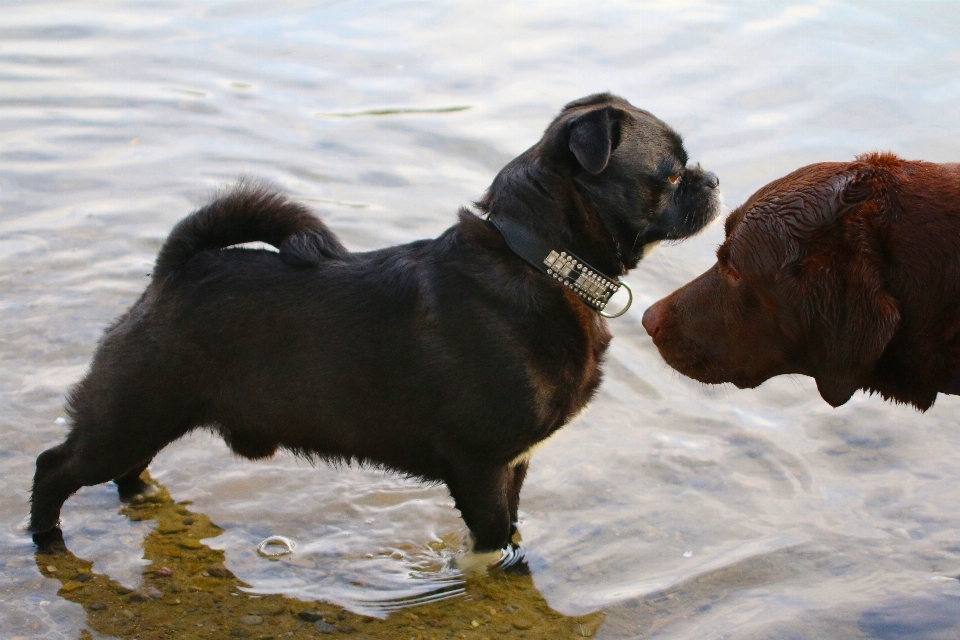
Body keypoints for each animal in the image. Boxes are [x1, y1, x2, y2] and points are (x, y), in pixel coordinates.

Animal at [30, 94, 720, 556]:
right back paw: (47, 539)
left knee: (127, 466)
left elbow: (513, 526)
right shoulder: (479, 463)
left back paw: (138, 499)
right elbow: (497, 540)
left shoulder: (514, 463)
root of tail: (176, 267)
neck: (538, 259)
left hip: (149, 413)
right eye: (671, 173)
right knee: (56, 467)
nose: (713, 177)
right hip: (130, 411)